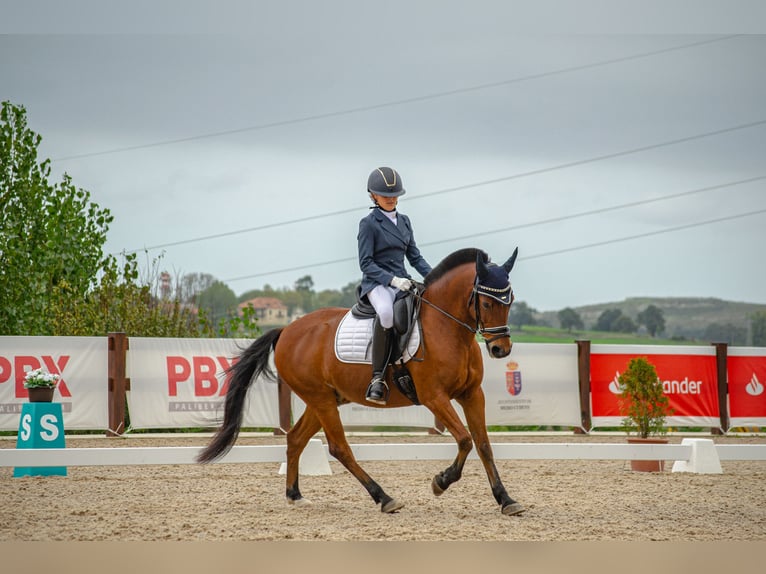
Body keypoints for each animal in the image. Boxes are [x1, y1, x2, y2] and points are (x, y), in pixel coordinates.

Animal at [196, 248, 528, 516]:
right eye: (486, 303)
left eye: (509, 300)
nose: (501, 350)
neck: (447, 327)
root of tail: (287, 330)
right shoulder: (434, 396)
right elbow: (464, 439)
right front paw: (440, 482)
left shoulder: (472, 394)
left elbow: (483, 445)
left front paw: (506, 500)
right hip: (321, 399)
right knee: (338, 447)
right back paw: (384, 498)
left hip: (324, 399)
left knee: (296, 439)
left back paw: (295, 495)